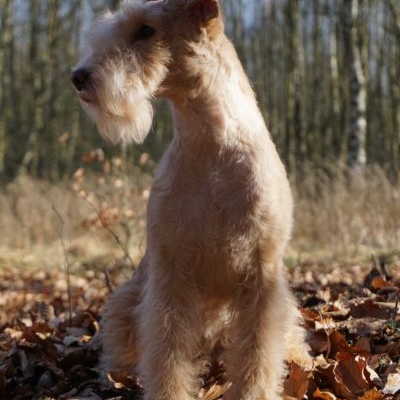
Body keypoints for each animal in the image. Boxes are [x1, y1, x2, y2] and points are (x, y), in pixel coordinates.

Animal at [71, 1, 310, 398]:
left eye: (146, 30)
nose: (78, 76)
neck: (212, 145)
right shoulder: (172, 272)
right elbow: (167, 352)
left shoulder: (262, 275)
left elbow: (258, 351)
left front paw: (254, 391)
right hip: (127, 299)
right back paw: (114, 375)